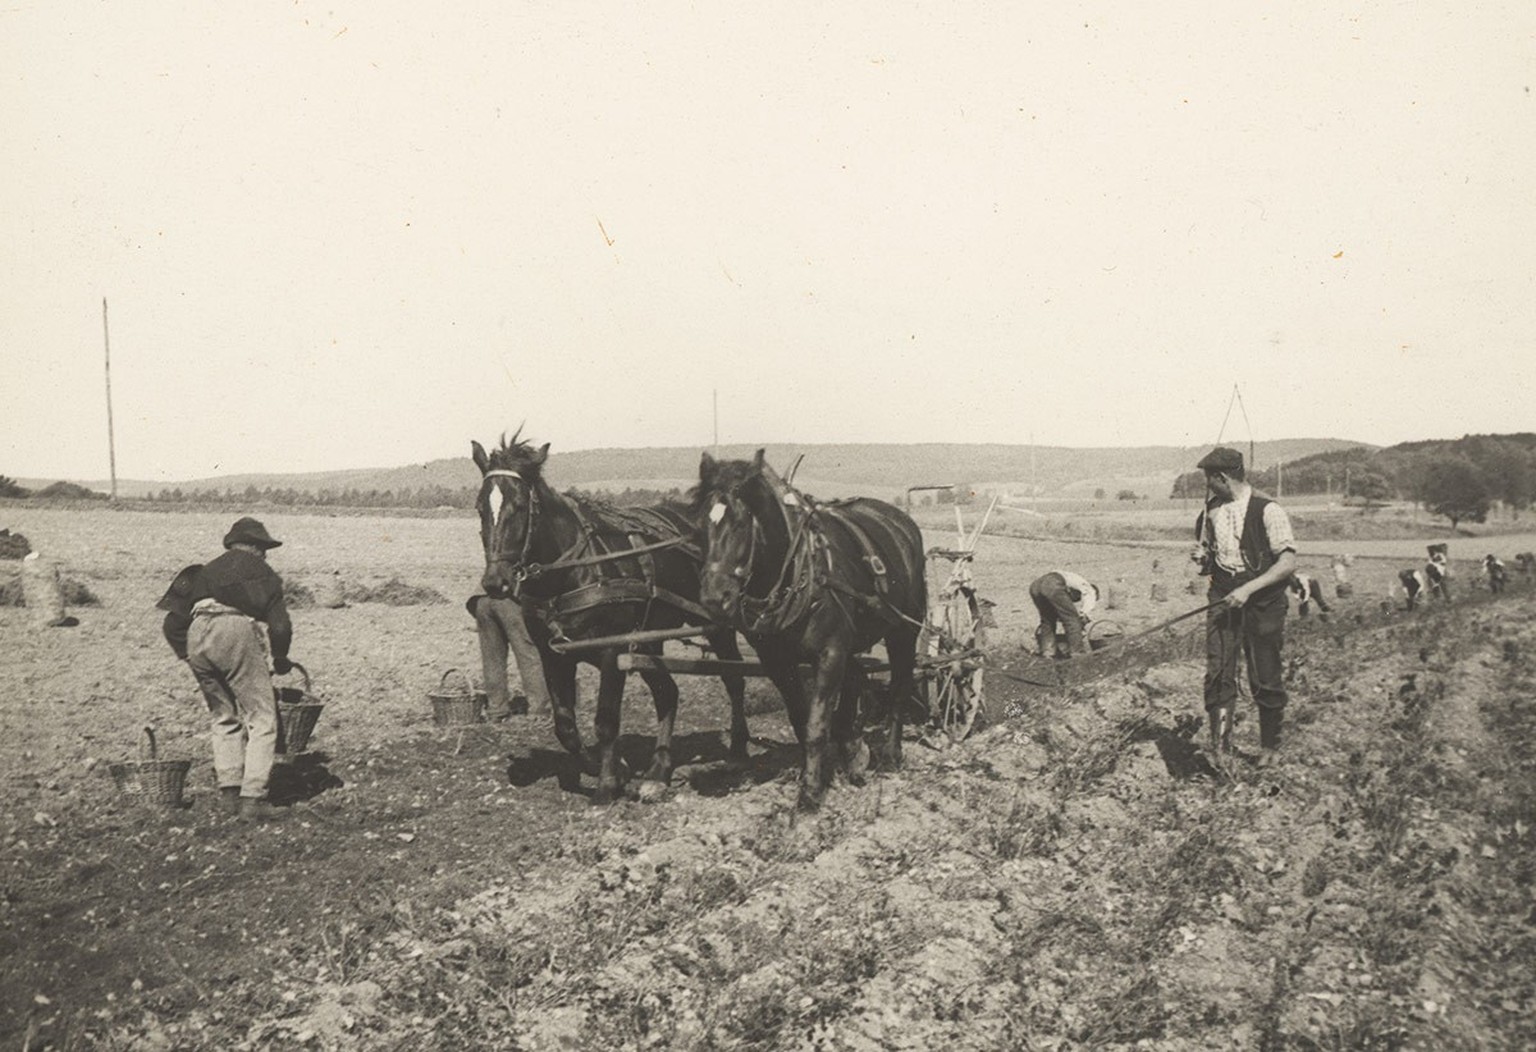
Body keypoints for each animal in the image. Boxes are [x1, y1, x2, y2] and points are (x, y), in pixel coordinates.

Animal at [473, 430, 749, 798]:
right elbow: (565, 725)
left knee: (734, 679)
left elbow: (605, 720)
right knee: (668, 693)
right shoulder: (553, 654)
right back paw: (658, 771)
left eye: (518, 506)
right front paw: (610, 767)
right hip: (648, 641)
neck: (574, 569)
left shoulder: (611, 651)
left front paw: (607, 783)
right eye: (480, 506)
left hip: (716, 624)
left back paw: (737, 752)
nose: (495, 582)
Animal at [697, 448, 921, 810]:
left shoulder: (830, 653)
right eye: (700, 524)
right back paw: (853, 749)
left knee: (900, 685)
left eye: (741, 523)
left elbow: (816, 724)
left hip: (904, 629)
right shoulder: (778, 661)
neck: (800, 573)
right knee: (857, 677)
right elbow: (801, 719)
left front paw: (811, 791)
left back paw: (890, 753)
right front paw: (826, 767)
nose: (715, 598)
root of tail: (902, 523)